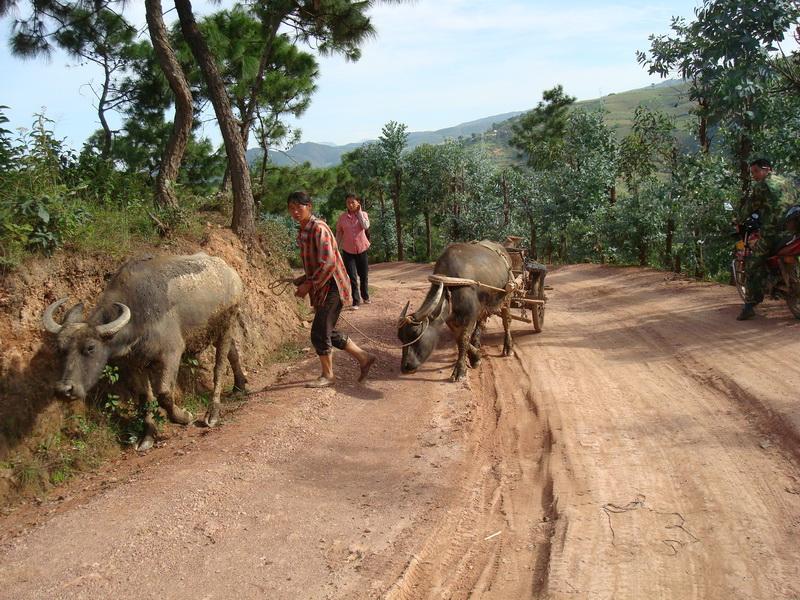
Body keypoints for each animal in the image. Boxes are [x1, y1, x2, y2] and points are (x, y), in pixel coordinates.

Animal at [40, 253, 245, 450]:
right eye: (61, 348)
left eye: (91, 347)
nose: (64, 389)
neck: (138, 316)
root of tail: (230, 272)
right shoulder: (134, 364)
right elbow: (145, 398)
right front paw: (147, 437)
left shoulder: (171, 353)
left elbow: (164, 394)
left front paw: (184, 416)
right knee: (233, 352)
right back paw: (240, 386)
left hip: (227, 324)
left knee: (219, 366)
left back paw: (213, 413)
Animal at [398, 239, 516, 380]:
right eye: (400, 337)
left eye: (416, 334)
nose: (405, 367)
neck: (450, 288)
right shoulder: (450, 319)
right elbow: (458, 338)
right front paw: (476, 357)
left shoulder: (470, 316)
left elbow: (463, 339)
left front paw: (460, 370)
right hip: (485, 306)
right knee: (481, 323)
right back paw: (477, 342)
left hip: (506, 297)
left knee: (506, 321)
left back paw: (508, 348)